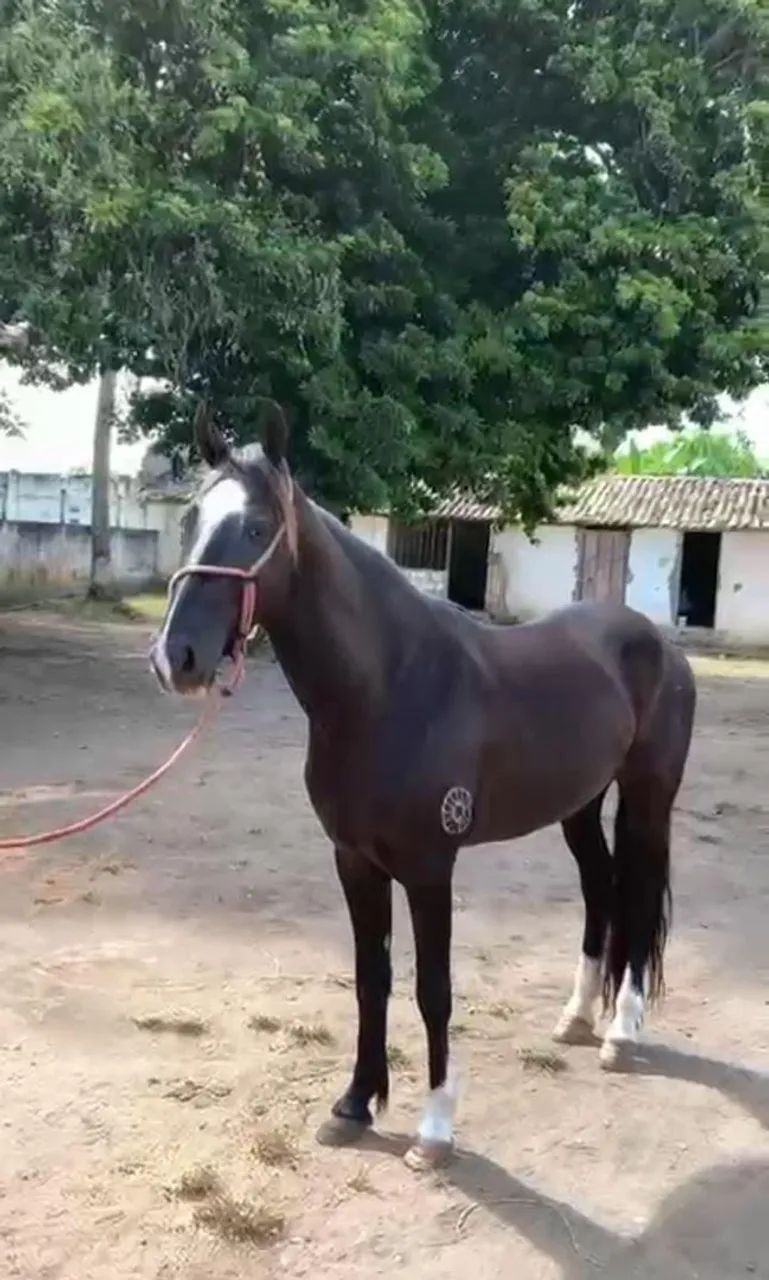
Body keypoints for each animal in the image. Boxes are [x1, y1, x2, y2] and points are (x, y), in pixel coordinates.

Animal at [151, 403, 696, 1170]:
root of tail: (654, 641)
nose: (178, 657)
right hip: (579, 806)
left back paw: (621, 1031)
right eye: (192, 517)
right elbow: (370, 979)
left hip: (647, 798)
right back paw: (576, 1017)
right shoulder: (354, 860)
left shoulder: (430, 866)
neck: (390, 687)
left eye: (257, 528)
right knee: (601, 889)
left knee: (639, 898)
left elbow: (432, 990)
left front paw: (434, 1128)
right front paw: (353, 1105)